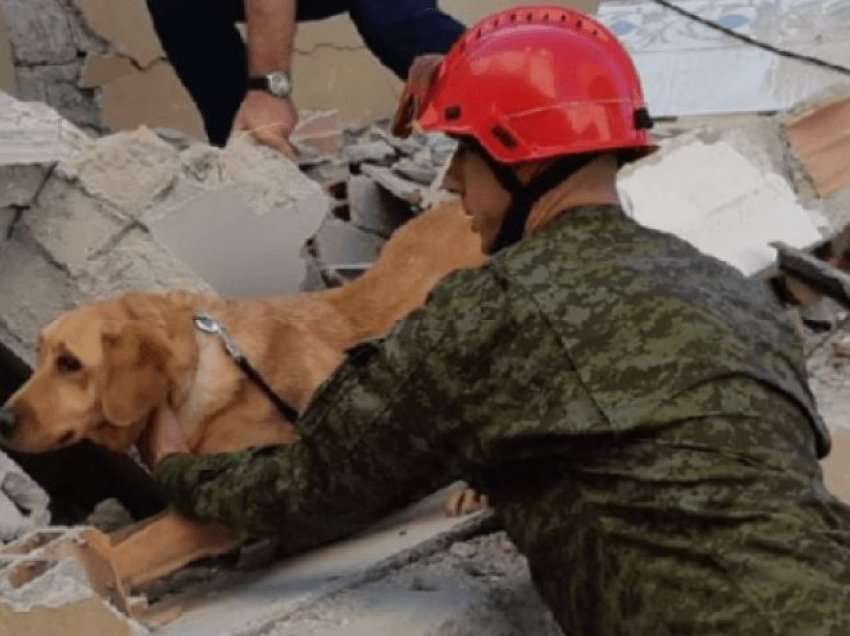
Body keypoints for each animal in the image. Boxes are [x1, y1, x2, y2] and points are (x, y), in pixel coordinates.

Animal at [1, 202, 484, 592]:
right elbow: (121, 534)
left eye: (69, 363)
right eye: (39, 356)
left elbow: (132, 549)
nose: (2, 420)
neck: (196, 372)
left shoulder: (236, 498)